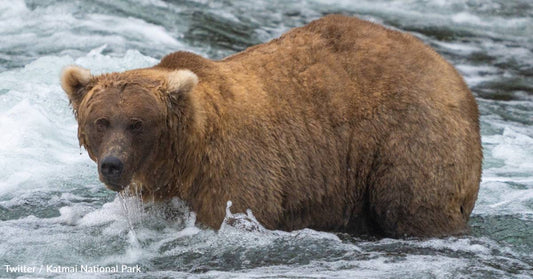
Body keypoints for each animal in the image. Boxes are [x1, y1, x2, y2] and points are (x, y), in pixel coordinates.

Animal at [61, 14, 482, 238]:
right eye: (101, 122)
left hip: (410, 135)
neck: (184, 158)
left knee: (411, 204)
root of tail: (452, 73)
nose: (112, 165)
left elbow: (236, 211)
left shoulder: (235, 171)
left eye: (137, 123)